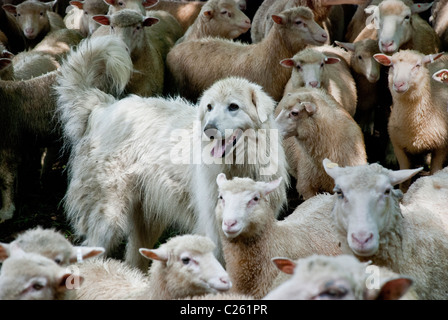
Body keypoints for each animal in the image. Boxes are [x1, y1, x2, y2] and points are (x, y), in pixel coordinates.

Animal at [372, 50, 448, 189]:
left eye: (417, 65)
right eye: (391, 65)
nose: (398, 84)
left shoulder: (441, 147)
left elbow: (434, 173)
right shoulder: (399, 147)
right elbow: (404, 181)